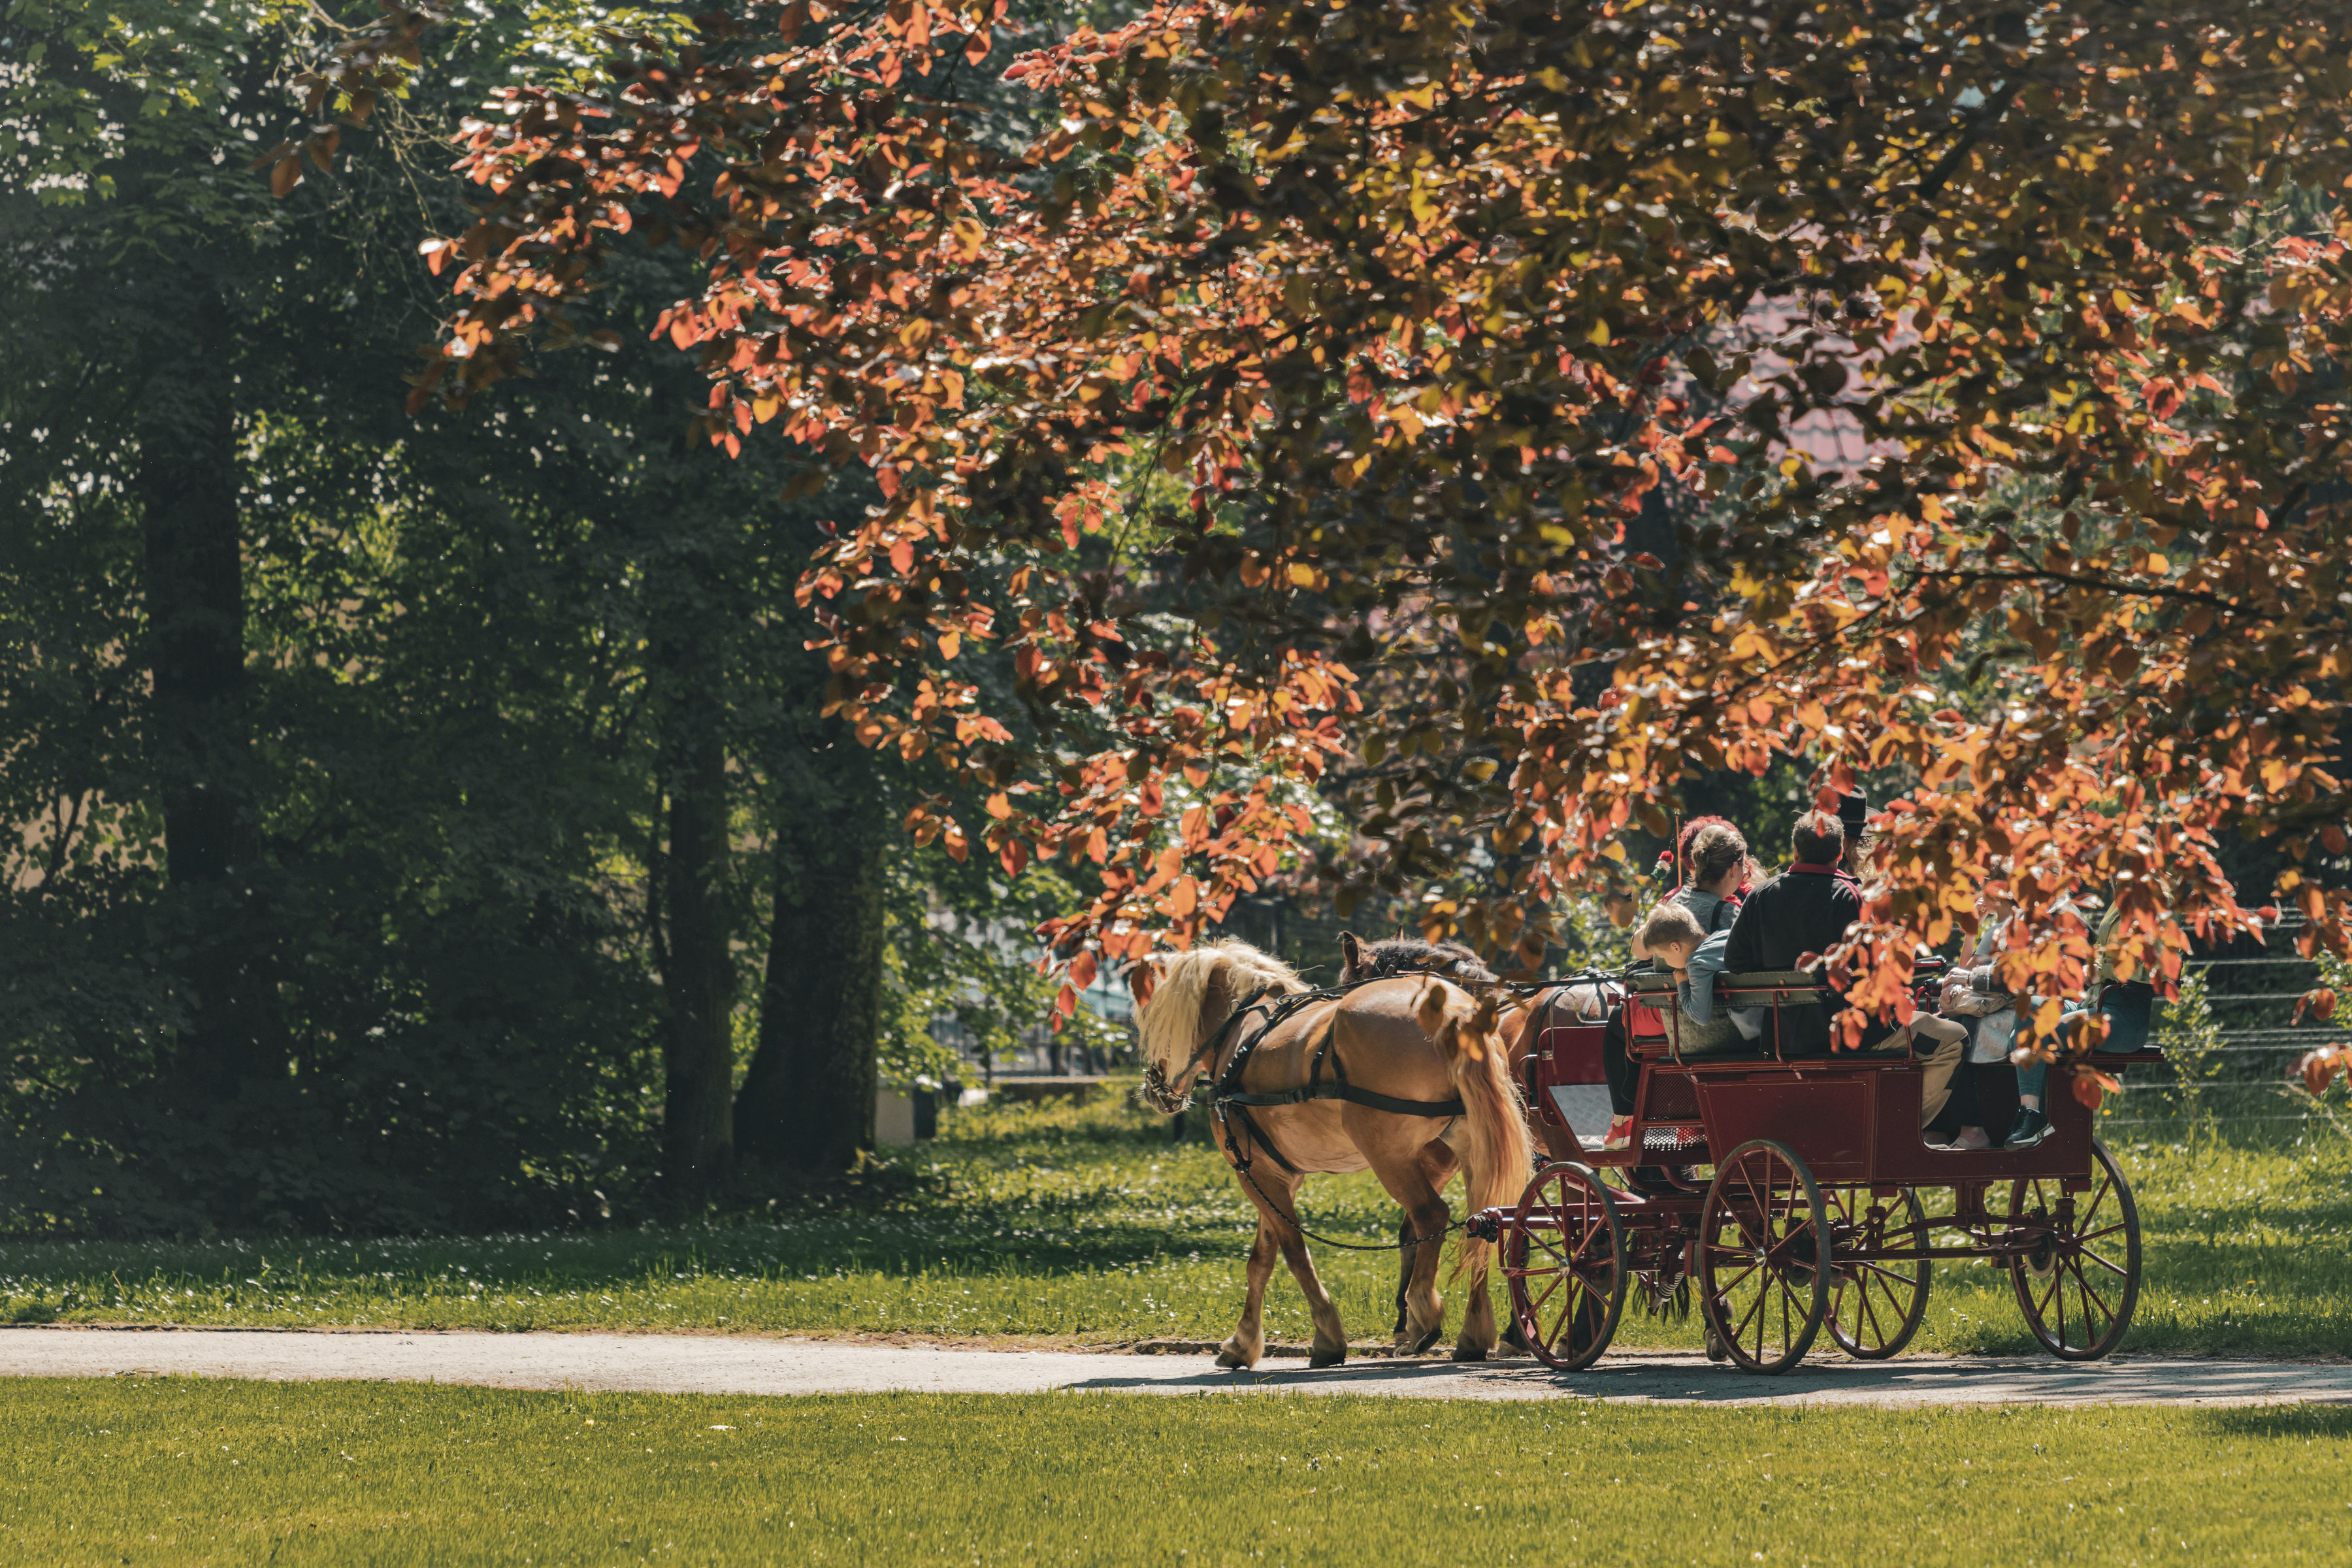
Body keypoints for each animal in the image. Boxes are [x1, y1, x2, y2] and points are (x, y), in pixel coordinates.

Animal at [1134, 940, 1533, 1363]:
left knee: (1431, 1216)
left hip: (1389, 1156)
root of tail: (1454, 1011)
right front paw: (1242, 1342)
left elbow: (1294, 1253)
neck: (1240, 1034)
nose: (1153, 1086)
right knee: (1485, 1222)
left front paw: (1326, 1336)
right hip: (1471, 1149)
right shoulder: (1277, 1176)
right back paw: (1473, 1333)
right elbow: (1262, 1259)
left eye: (1155, 1020)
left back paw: (1423, 1314)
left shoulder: (1253, 1173)